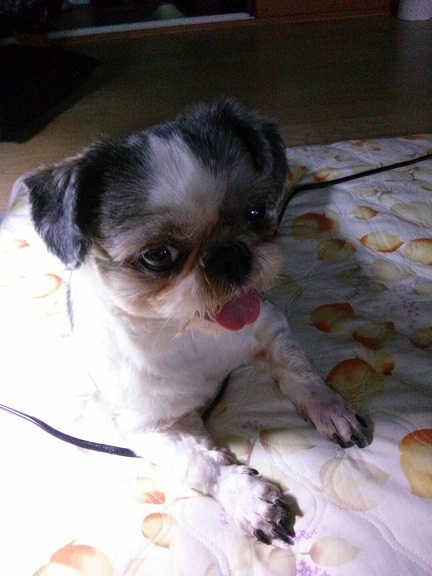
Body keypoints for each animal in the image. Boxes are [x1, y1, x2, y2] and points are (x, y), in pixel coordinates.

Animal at [27, 99, 369, 548]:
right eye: (157, 255)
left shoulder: (269, 324)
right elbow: (203, 465)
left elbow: (300, 372)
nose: (232, 255)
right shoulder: (152, 428)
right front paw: (246, 498)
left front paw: (329, 407)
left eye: (256, 213)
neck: (188, 334)